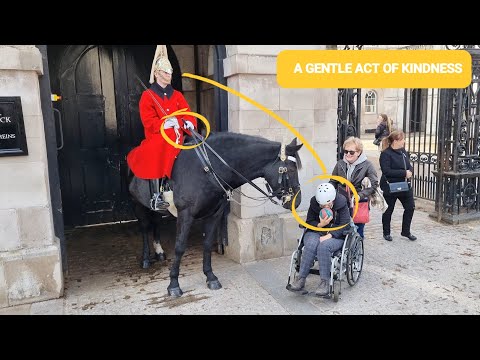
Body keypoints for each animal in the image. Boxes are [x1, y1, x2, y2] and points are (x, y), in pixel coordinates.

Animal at [126, 131, 300, 296]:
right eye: (291, 169)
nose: (297, 202)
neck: (207, 169)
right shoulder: (185, 214)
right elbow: (180, 247)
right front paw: (174, 284)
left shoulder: (215, 214)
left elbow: (208, 243)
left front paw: (210, 276)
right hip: (137, 204)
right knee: (144, 228)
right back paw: (146, 259)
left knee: (155, 224)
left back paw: (159, 252)